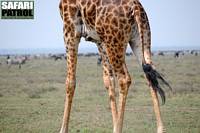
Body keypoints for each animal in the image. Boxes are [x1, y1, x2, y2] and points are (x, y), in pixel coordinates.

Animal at [58, 0, 171, 132]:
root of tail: (135, 7)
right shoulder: (99, 40)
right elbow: (108, 81)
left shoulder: (70, 28)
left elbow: (70, 82)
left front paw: (62, 129)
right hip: (139, 39)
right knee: (149, 75)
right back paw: (160, 129)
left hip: (115, 42)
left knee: (124, 79)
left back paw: (118, 129)